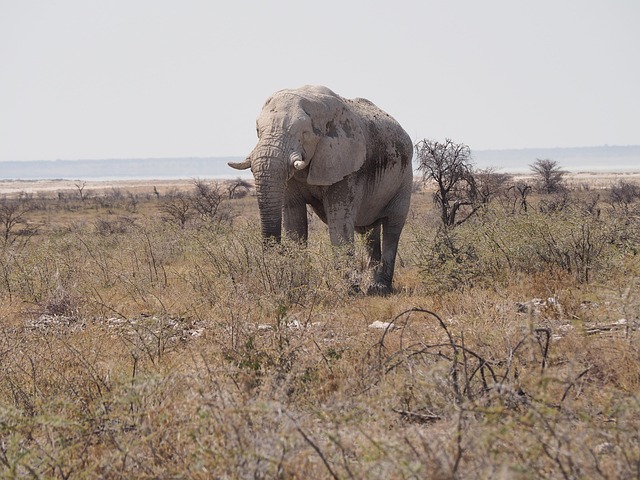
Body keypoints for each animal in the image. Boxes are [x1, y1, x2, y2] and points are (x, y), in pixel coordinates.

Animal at [229, 85, 413, 294]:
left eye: (303, 133)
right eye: (258, 130)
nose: (278, 254)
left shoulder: (346, 162)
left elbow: (338, 220)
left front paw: (349, 291)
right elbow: (294, 220)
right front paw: (296, 286)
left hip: (405, 177)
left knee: (392, 226)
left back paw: (381, 287)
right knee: (368, 231)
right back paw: (373, 287)